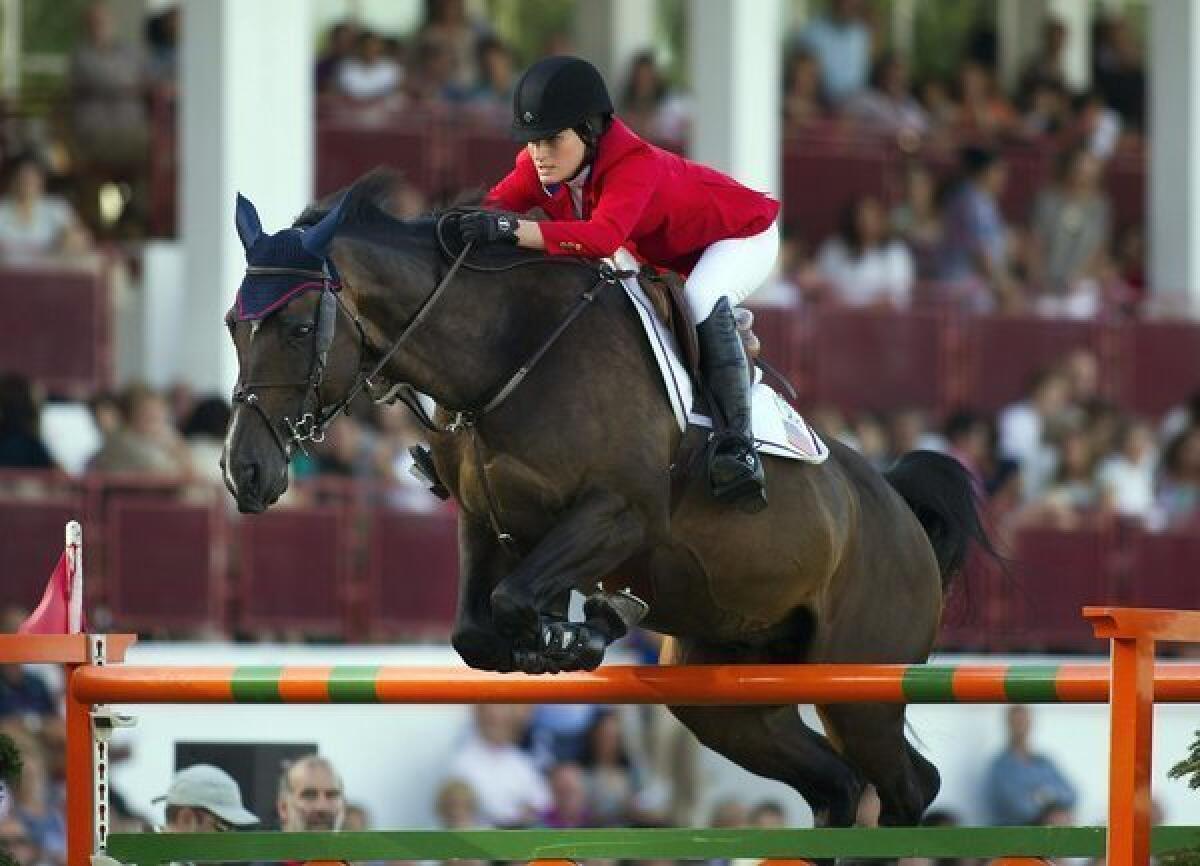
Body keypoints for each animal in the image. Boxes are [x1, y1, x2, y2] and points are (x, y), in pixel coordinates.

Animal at [220, 169, 998, 849]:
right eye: (233, 324)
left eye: (297, 329)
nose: (243, 472)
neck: (506, 357)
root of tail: (898, 509)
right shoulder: (490, 522)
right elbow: (477, 630)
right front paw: (566, 633)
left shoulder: (618, 515)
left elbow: (513, 598)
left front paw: (585, 629)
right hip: (733, 695)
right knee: (836, 784)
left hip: (860, 682)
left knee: (908, 787)